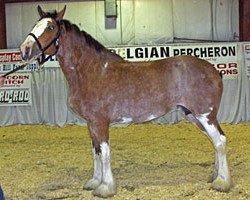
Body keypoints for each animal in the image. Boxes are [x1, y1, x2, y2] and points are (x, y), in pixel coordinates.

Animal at [20, 5, 232, 198]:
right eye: (35, 25)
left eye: (50, 27)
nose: (25, 50)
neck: (92, 71)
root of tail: (214, 70)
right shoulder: (91, 124)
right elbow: (95, 152)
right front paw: (94, 182)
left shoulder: (100, 123)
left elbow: (105, 153)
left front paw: (105, 188)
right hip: (195, 116)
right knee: (215, 142)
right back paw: (214, 176)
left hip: (205, 115)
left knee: (220, 141)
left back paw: (222, 182)